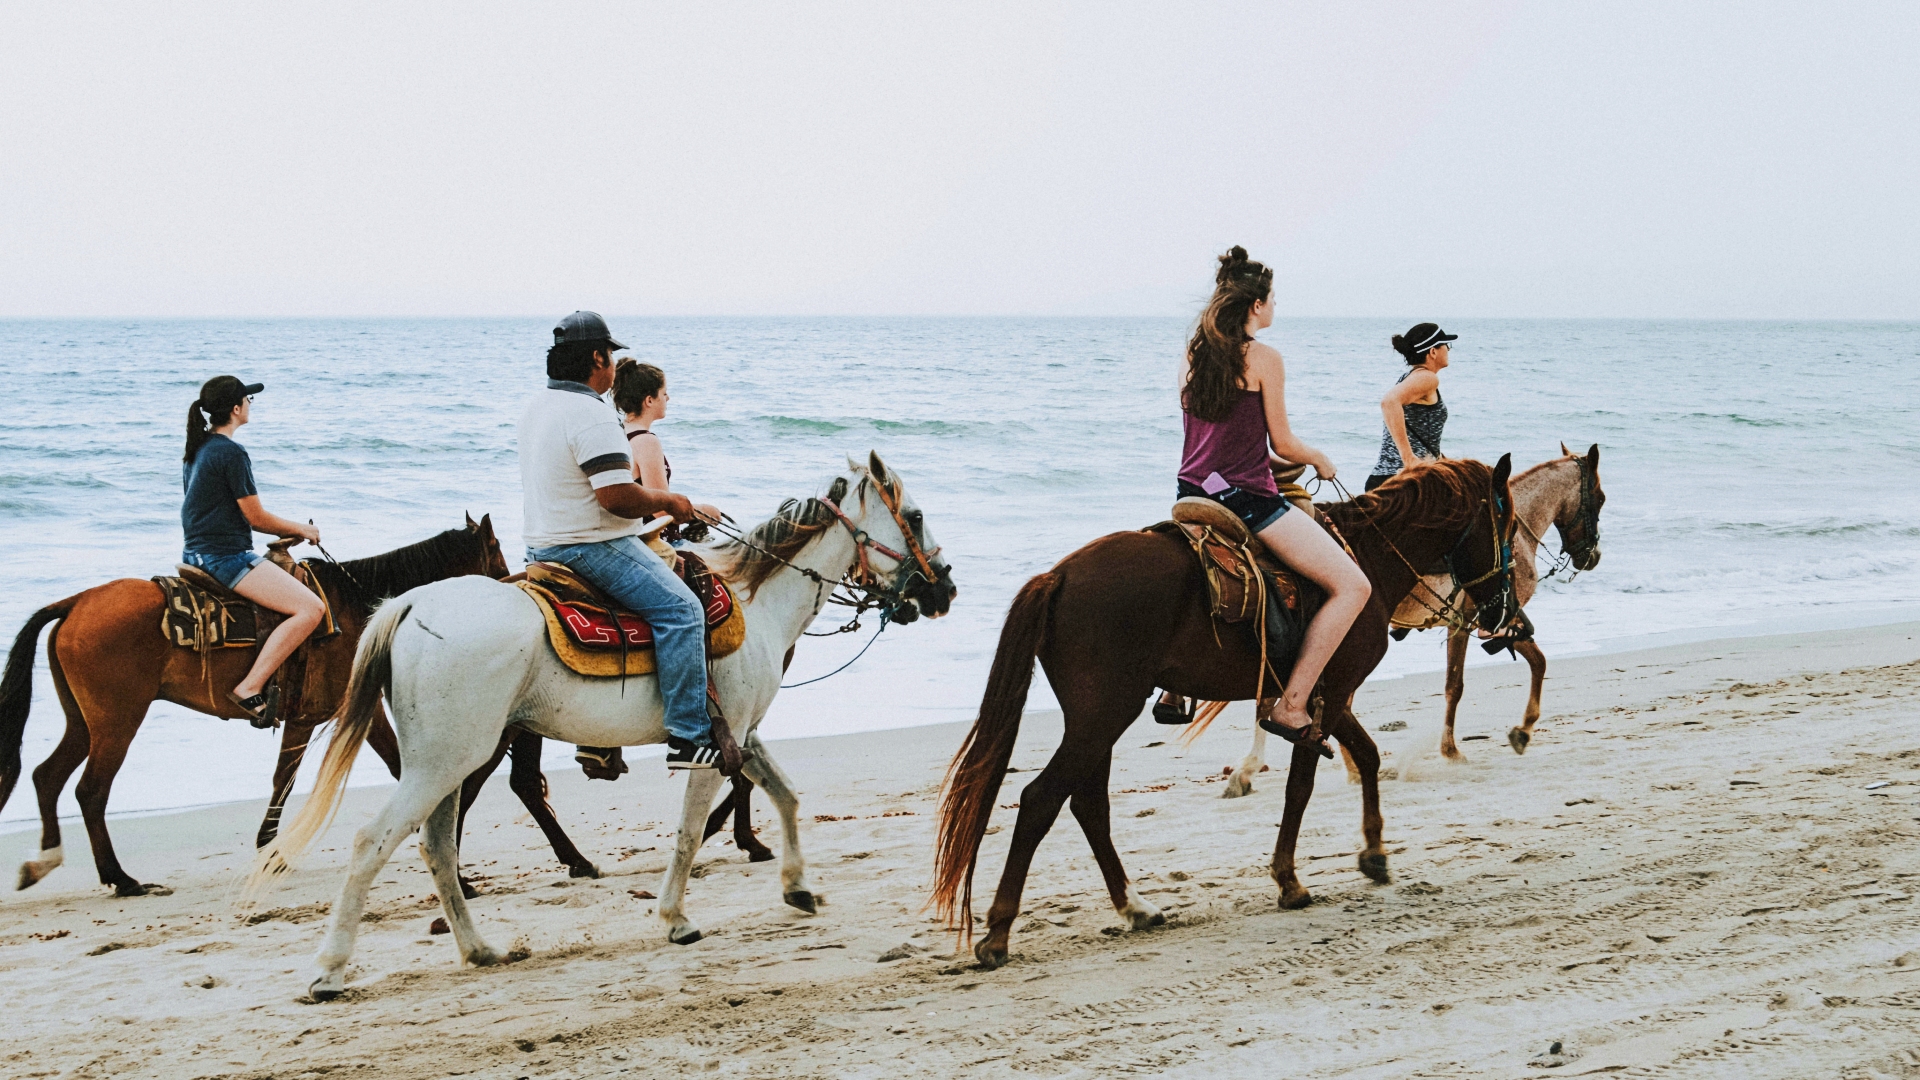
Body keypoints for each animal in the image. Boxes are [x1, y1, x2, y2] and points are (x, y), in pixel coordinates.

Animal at [247, 449, 952, 999]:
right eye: (914, 516)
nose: (942, 588)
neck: (754, 602)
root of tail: (412, 603)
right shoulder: (711, 743)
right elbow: (689, 833)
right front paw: (674, 918)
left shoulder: (742, 736)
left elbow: (785, 794)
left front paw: (798, 887)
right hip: (447, 759)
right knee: (375, 841)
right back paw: (329, 971)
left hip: (446, 761)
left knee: (438, 847)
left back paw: (479, 949)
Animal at [929, 453, 1512, 968]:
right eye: (1506, 523)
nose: (1501, 609)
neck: (1366, 557)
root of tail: (1059, 577)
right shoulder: (1329, 693)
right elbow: (1304, 784)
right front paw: (1291, 880)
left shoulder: (1324, 695)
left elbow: (1365, 756)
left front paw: (1372, 853)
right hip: (1103, 716)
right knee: (1041, 800)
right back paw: (999, 933)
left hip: (1097, 719)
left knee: (1087, 804)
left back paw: (1134, 907)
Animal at [1213, 441, 1605, 795]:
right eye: (1600, 498)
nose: (1593, 556)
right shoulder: (1477, 623)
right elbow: (1471, 681)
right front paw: (1479, 743)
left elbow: (1518, 666)